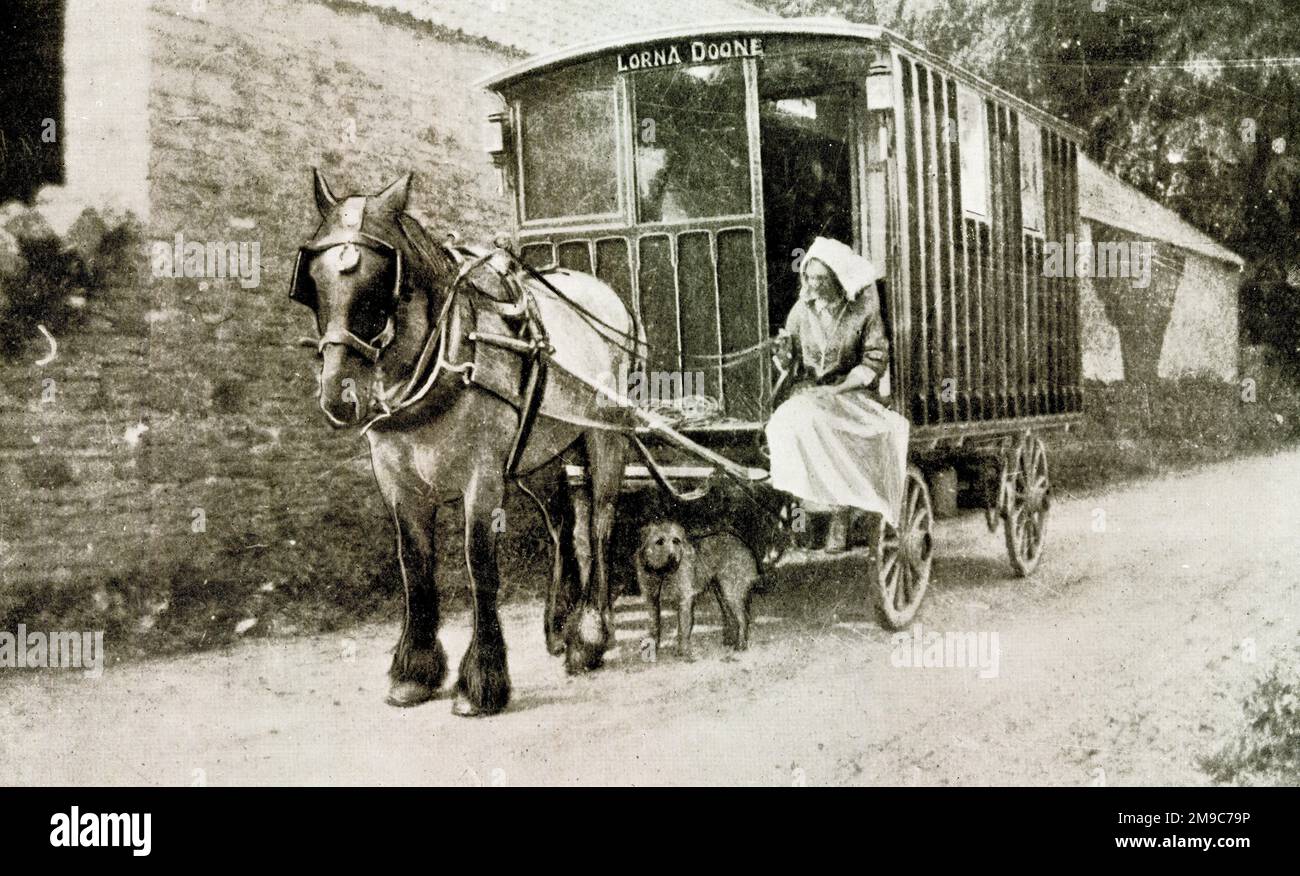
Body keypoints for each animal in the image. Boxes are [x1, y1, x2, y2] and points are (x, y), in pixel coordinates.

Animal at [292, 170, 642, 717]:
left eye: (381, 282)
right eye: (313, 283)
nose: (339, 395)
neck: (447, 358)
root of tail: (604, 294)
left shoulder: (482, 479)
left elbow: (480, 565)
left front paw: (481, 682)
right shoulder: (399, 484)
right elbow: (415, 567)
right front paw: (414, 673)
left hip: (605, 436)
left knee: (600, 523)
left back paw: (589, 635)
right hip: (536, 453)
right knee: (563, 524)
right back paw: (560, 625)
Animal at [631, 519, 759, 655]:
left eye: (676, 541)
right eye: (659, 541)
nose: (673, 557)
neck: (662, 573)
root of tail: (745, 547)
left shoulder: (685, 599)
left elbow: (683, 627)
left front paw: (683, 650)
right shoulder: (652, 601)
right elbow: (654, 625)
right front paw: (652, 648)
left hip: (731, 592)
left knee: (743, 618)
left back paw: (740, 644)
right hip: (721, 594)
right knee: (731, 617)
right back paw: (729, 640)